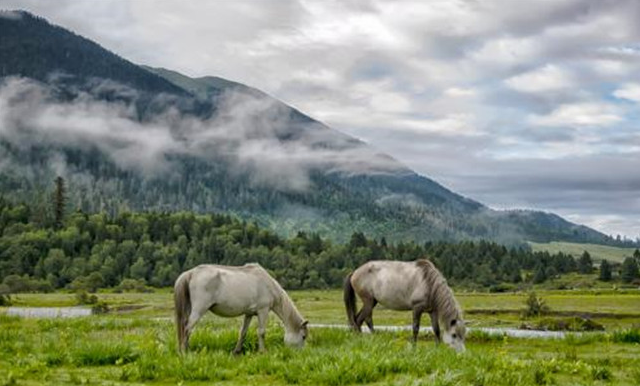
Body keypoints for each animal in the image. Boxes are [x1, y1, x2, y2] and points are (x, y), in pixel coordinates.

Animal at [172, 264, 308, 354]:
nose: (300, 354)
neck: (268, 285)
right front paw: (262, 352)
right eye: (303, 337)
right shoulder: (263, 311)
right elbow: (261, 332)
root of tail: (191, 273)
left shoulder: (249, 314)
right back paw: (185, 352)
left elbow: (243, 332)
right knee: (187, 328)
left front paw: (236, 351)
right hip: (199, 310)